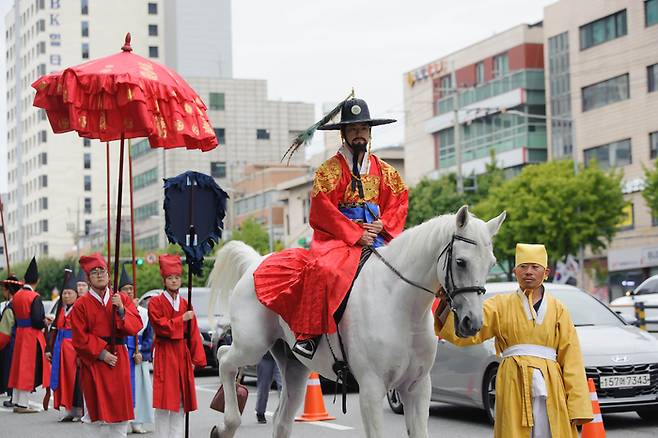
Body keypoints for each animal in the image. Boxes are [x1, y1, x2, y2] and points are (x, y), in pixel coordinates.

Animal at [208, 206, 504, 438]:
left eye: (491, 263)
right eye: (461, 262)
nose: (472, 322)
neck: (401, 307)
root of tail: (255, 263)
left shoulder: (417, 387)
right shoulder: (372, 388)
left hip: (294, 368)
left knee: (281, 422)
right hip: (252, 344)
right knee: (224, 357)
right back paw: (226, 425)